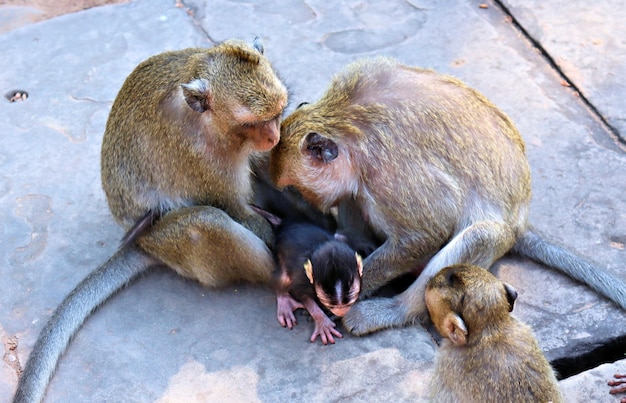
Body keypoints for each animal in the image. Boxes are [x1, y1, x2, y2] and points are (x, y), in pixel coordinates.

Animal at [14, 38, 288, 403]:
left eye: (277, 113)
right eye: (250, 124)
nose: (273, 137)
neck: (207, 122)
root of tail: (144, 245)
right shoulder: (199, 157)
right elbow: (233, 209)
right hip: (166, 241)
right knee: (205, 222)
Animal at [270, 55, 624, 336]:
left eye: (296, 188)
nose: (311, 206)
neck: (344, 119)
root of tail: (521, 220)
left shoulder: (391, 174)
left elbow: (426, 233)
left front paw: (337, 292)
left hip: (493, 236)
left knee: (479, 237)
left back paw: (393, 310)